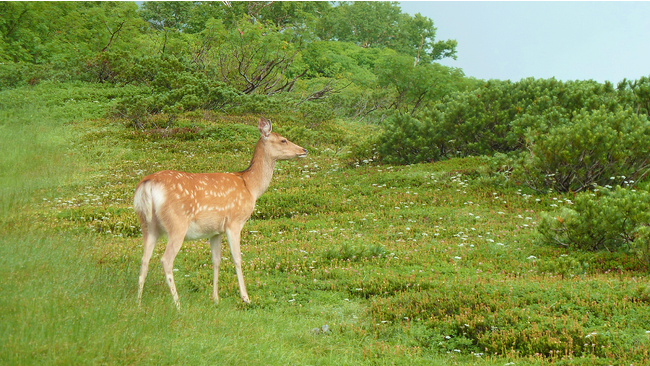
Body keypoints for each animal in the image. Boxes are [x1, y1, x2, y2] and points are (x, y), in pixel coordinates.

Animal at [133, 117, 308, 308]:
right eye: (283, 140)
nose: (304, 150)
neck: (250, 186)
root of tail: (147, 185)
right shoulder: (235, 222)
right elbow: (237, 258)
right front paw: (245, 297)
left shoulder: (215, 231)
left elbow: (216, 260)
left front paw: (215, 298)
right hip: (177, 223)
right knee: (166, 260)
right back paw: (178, 305)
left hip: (147, 224)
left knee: (144, 260)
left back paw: (139, 303)